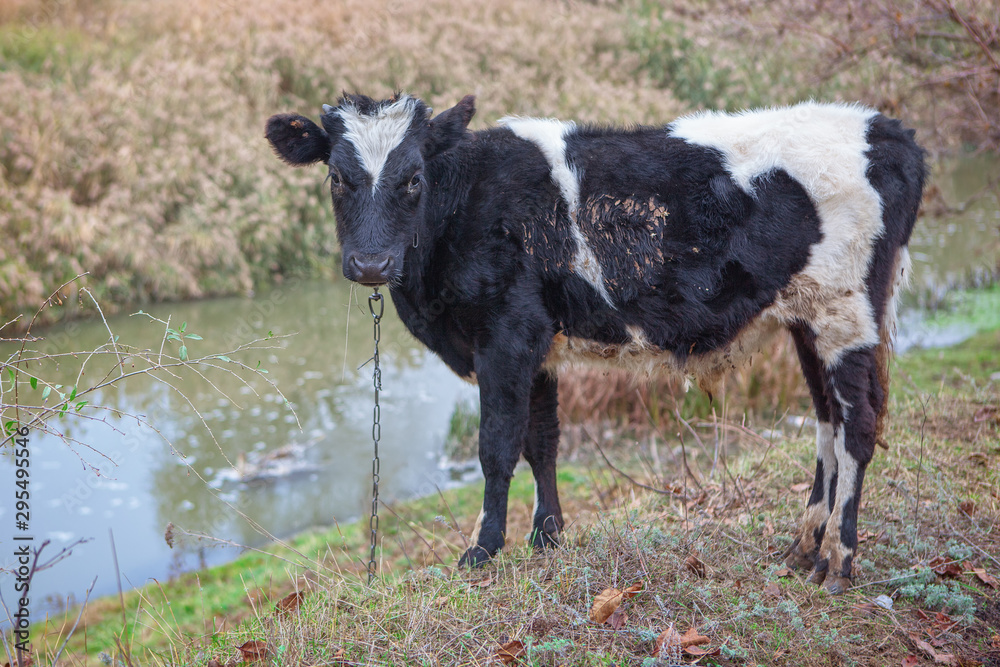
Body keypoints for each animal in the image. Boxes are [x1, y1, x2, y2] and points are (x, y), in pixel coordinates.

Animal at [265, 93, 925, 594]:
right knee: (826, 422)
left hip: (847, 311)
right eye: (336, 177)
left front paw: (482, 551)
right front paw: (547, 538)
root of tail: (883, 127)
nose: (371, 264)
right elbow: (542, 442)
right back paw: (803, 547)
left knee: (858, 424)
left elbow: (496, 446)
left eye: (412, 179)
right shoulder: (538, 343)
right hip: (806, 318)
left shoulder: (505, 334)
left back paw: (838, 560)